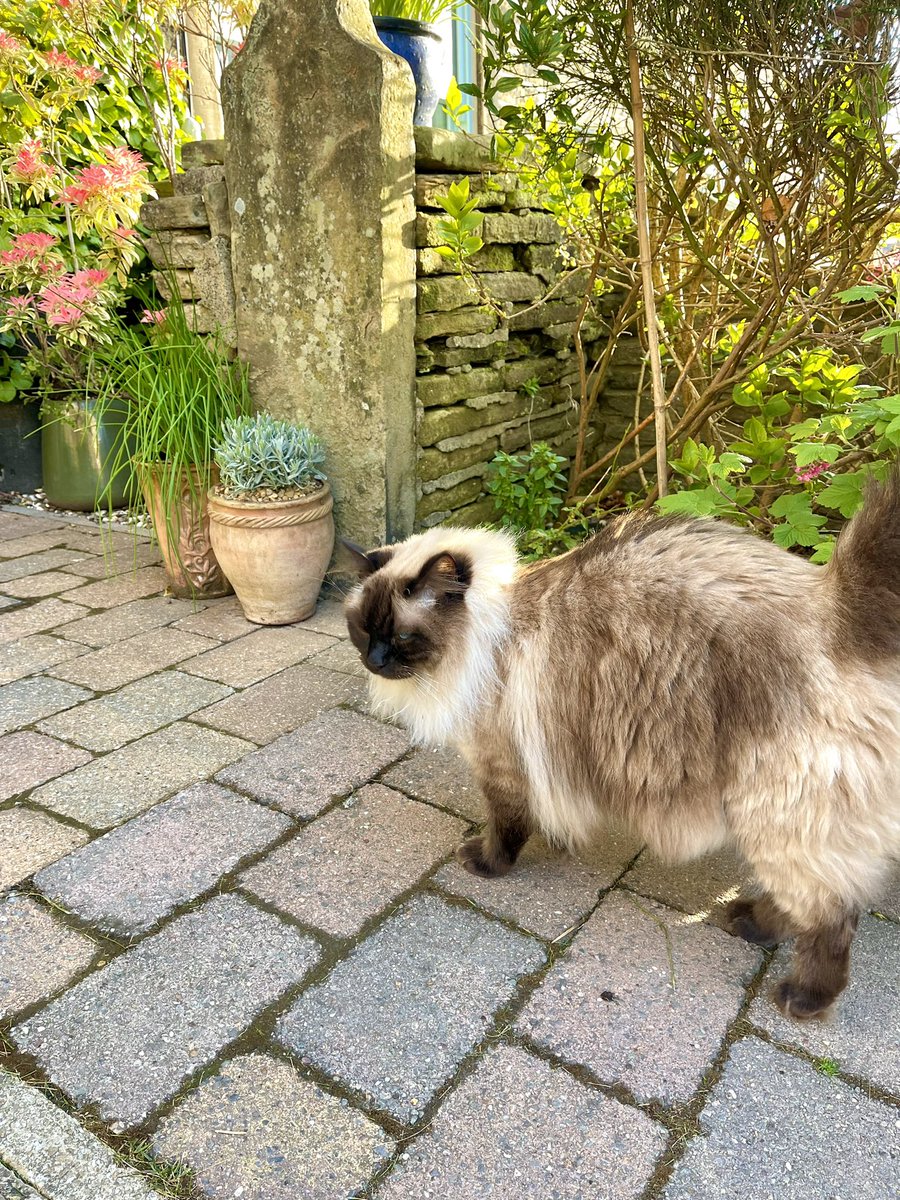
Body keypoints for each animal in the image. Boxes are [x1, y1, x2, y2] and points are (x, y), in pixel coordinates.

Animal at [343, 472, 900, 1017]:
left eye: (402, 637)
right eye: (363, 629)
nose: (375, 660)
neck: (489, 631)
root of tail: (835, 609)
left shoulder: (501, 764)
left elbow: (506, 826)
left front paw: (486, 865)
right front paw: (557, 842)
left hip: (774, 821)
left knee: (831, 916)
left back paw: (801, 996)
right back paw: (747, 923)